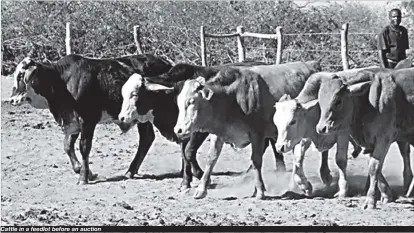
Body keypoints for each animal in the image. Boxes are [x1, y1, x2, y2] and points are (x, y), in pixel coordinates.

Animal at [8, 53, 175, 185]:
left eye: (21, 76)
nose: (12, 100)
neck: (62, 81)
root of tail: (166, 63)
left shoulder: (87, 120)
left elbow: (84, 147)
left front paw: (83, 177)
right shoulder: (73, 122)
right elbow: (67, 145)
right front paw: (83, 171)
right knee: (147, 138)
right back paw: (130, 171)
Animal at [172, 60, 324, 198]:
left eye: (191, 101)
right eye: (178, 102)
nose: (178, 130)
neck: (232, 97)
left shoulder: (257, 134)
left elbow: (256, 160)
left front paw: (260, 190)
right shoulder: (218, 134)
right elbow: (211, 159)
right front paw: (201, 190)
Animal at [316, 67, 412, 209]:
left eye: (338, 101)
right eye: (321, 101)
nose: (321, 128)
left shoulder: (384, 137)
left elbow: (374, 166)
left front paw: (370, 200)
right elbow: (373, 165)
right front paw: (387, 195)